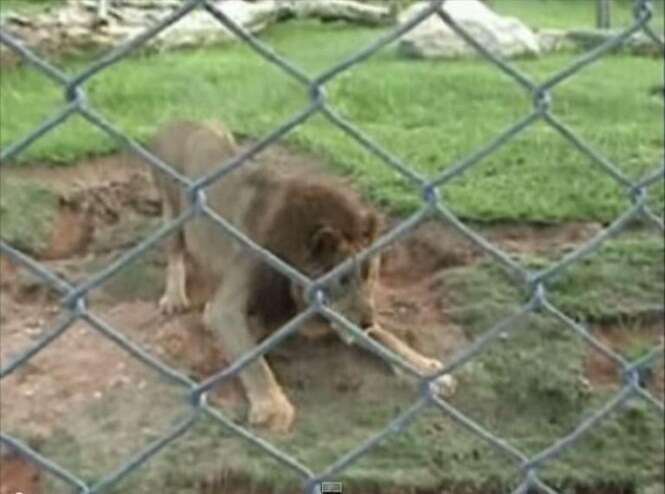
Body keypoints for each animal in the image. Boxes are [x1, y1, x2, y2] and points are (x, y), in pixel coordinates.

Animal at [148, 120, 454, 432]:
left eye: (370, 275)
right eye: (342, 280)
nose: (366, 321)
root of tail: (178, 122)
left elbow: (387, 338)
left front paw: (425, 369)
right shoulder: (229, 309)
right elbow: (253, 361)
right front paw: (272, 407)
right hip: (173, 213)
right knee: (176, 255)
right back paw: (174, 298)